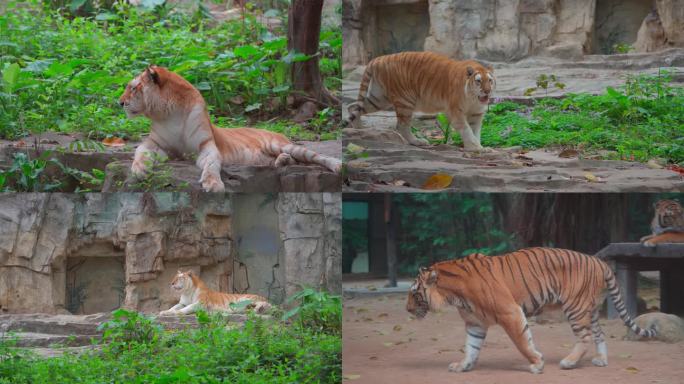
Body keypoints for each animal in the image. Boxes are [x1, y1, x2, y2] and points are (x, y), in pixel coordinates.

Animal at [119, 66, 342, 194]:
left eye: (133, 87)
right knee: (289, 161)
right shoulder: (156, 144)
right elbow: (140, 151)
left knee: (314, 157)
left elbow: (211, 164)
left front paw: (213, 184)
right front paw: (139, 170)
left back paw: (338, 166)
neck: (169, 112)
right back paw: (283, 161)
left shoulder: (206, 146)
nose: (119, 103)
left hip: (282, 144)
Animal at [406, 248, 656, 374]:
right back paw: (601, 360)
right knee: (599, 334)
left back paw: (569, 362)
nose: (407, 310)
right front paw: (463, 366)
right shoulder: (475, 323)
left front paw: (537, 362)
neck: (453, 294)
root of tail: (599, 262)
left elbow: (522, 342)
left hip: (575, 307)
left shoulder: (510, 312)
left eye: (414, 293)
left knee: (585, 337)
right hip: (590, 309)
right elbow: (471, 347)